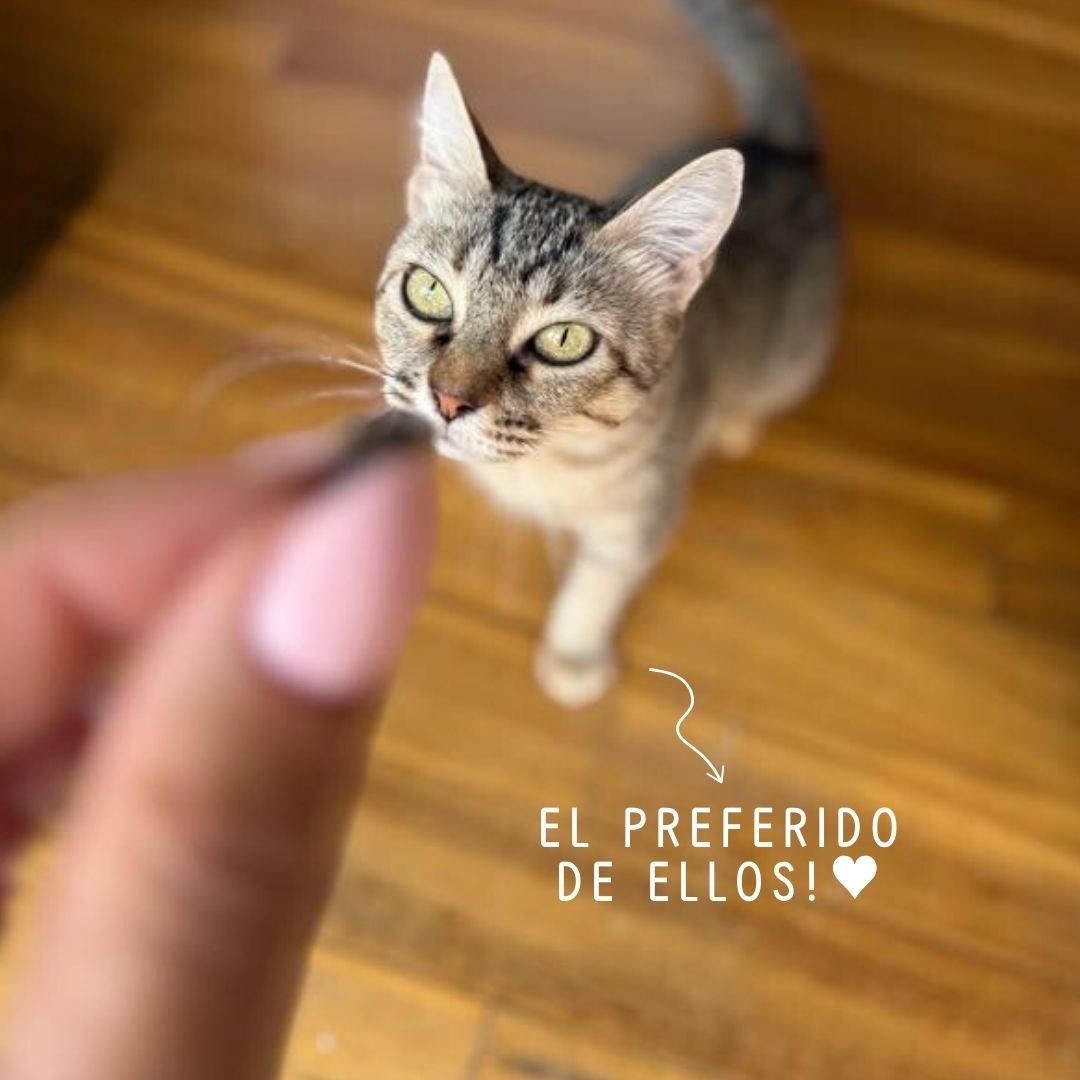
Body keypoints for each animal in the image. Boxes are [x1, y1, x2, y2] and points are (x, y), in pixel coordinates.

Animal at [375, 0, 840, 707]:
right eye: (427, 291)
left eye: (563, 341)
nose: (447, 399)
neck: (546, 464)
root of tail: (784, 154)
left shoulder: (641, 519)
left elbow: (596, 586)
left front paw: (573, 656)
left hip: (793, 361)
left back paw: (735, 424)